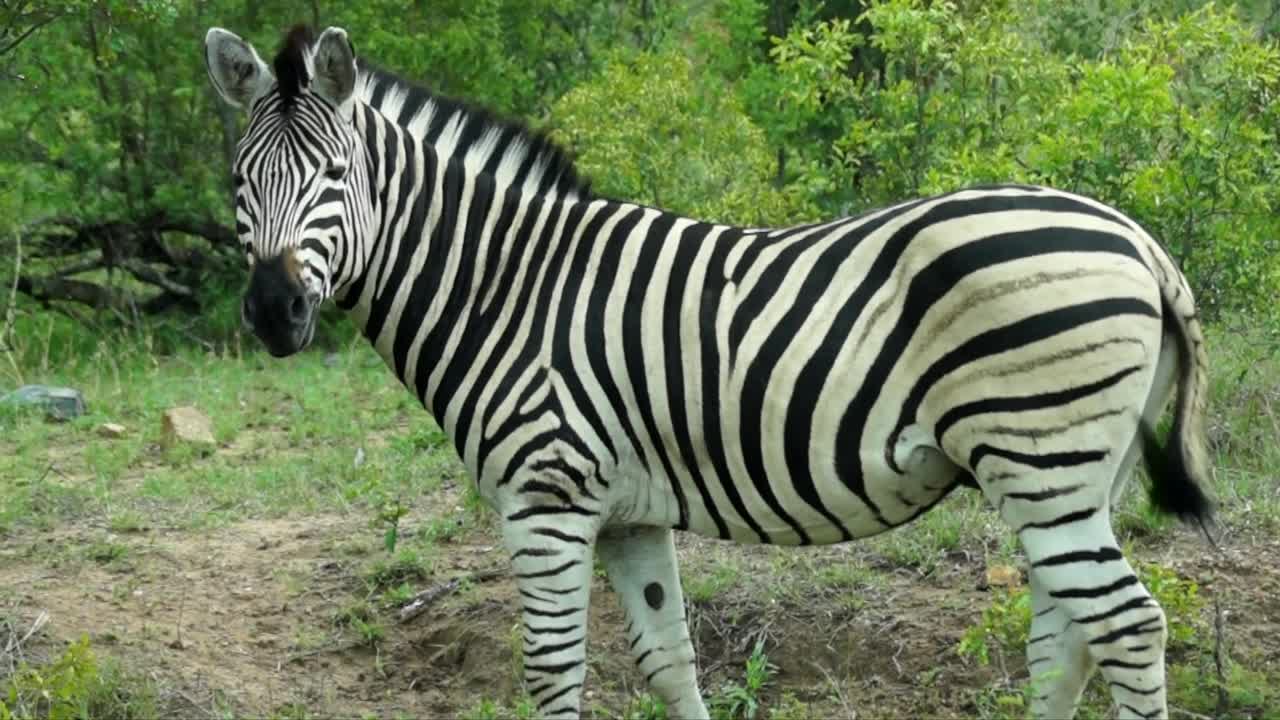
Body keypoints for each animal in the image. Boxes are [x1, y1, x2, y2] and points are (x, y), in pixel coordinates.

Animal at [204, 24, 1215, 720]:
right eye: (239, 184)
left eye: (335, 177)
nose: (273, 311)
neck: (505, 285)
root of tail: (1139, 241)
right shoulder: (627, 515)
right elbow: (668, 658)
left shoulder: (545, 500)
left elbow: (553, 671)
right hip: (1074, 475)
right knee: (1067, 637)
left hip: (1041, 456)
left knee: (1126, 627)